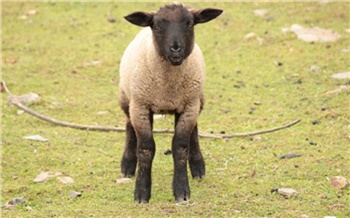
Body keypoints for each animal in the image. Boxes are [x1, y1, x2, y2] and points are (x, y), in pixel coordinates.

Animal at [117, 2, 221, 204]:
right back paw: (128, 165)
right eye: (157, 25)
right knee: (128, 125)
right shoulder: (141, 107)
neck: (168, 89)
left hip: (197, 100)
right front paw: (141, 192)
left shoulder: (189, 106)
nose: (176, 49)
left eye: (190, 23)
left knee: (194, 131)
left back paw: (198, 167)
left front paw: (182, 190)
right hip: (128, 99)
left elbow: (180, 146)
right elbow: (146, 148)